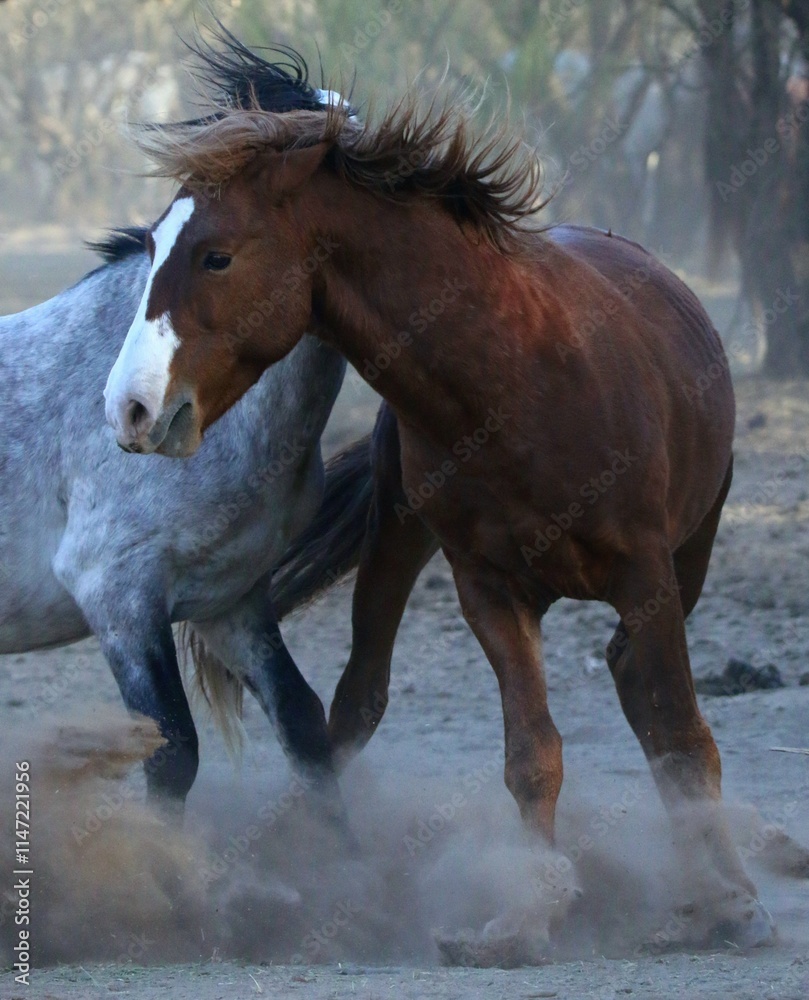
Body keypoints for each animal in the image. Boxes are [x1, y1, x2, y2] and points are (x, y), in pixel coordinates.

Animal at [101, 79, 778, 949]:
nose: (130, 408)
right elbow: (532, 754)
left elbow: (681, 734)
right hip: (395, 538)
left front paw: (728, 901)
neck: (519, 374)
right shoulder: (488, 589)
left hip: (692, 550)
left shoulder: (646, 574)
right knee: (357, 699)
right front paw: (523, 914)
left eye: (216, 255)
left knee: (639, 686)